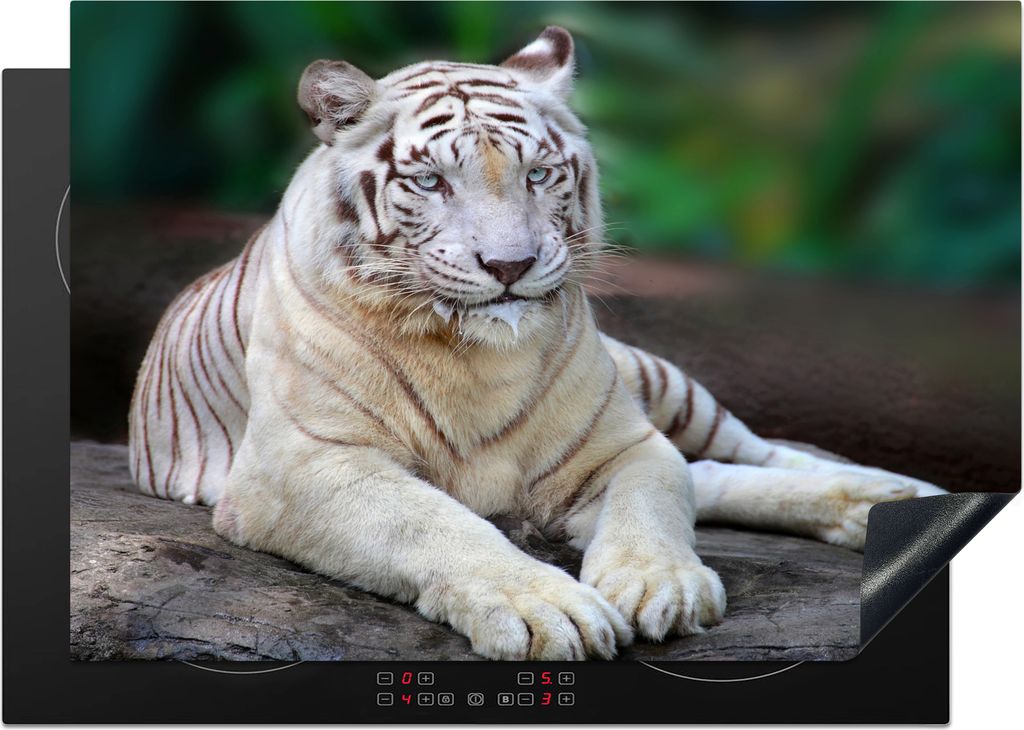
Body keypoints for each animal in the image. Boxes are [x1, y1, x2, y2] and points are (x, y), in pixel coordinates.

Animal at [128, 27, 946, 661]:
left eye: (541, 174)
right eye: (430, 182)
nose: (510, 265)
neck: (473, 356)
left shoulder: (624, 444)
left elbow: (655, 504)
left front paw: (660, 584)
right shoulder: (304, 466)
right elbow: (436, 523)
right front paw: (542, 608)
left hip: (663, 383)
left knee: (745, 456)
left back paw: (888, 497)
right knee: (710, 474)